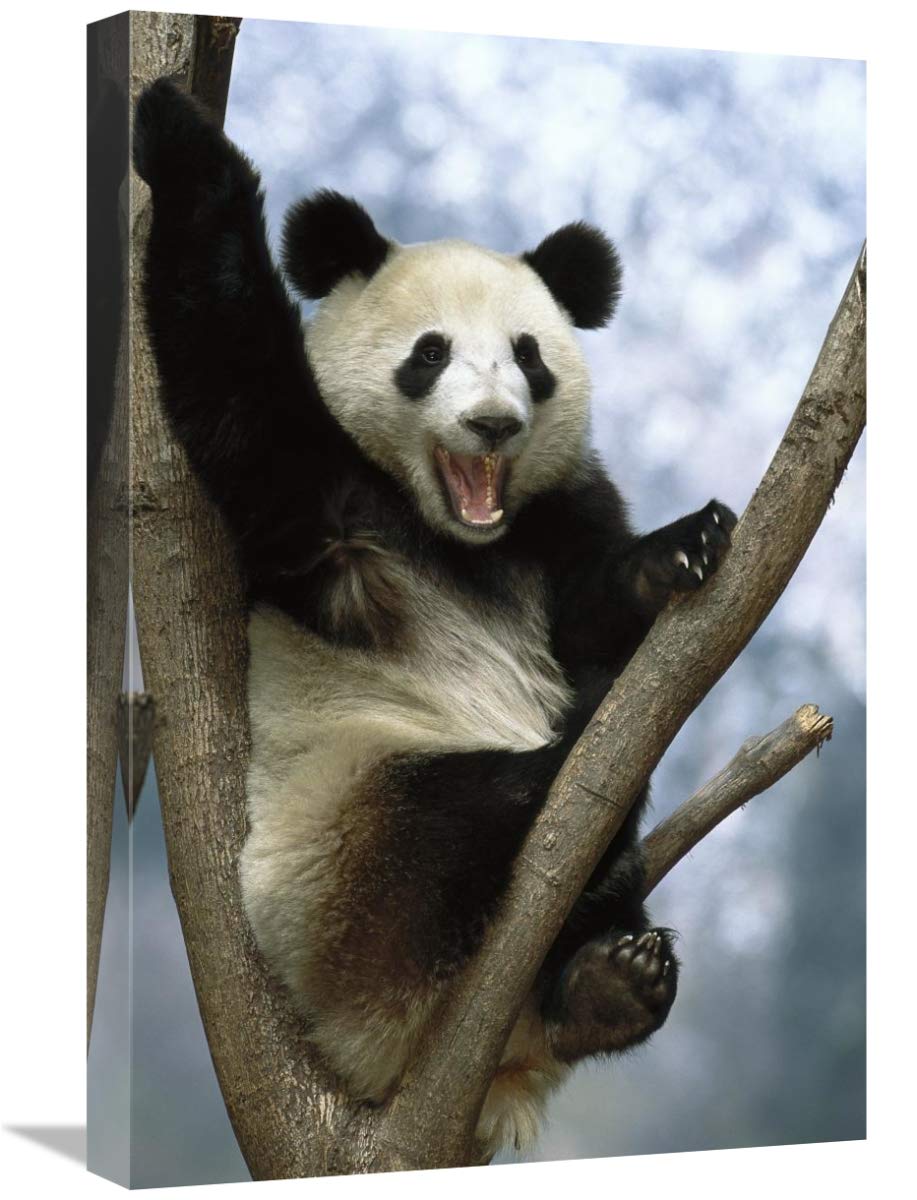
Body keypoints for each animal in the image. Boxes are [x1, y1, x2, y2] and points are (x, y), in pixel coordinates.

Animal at [133, 79, 736, 1156]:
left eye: (528, 358)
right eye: (429, 354)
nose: (492, 425)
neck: (459, 533)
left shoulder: (557, 515)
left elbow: (590, 613)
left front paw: (682, 550)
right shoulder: (325, 511)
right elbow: (233, 376)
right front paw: (182, 140)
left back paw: (603, 985)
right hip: (343, 852)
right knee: (469, 814)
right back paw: (580, 762)